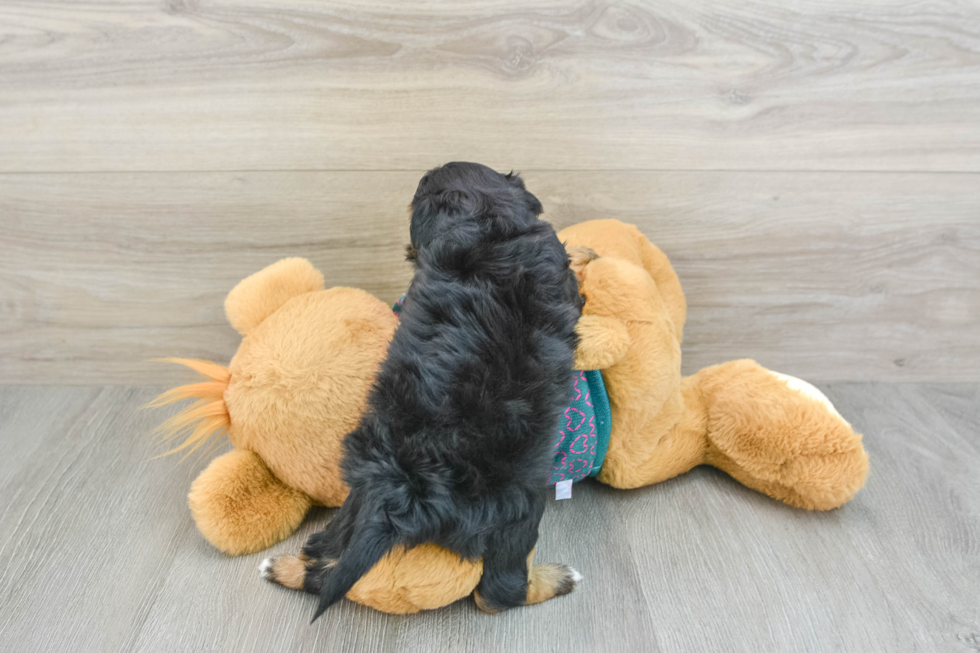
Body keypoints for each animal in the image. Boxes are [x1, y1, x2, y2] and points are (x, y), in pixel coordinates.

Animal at [262, 160, 580, 612]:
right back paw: (558, 578)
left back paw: (284, 566)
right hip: (518, 509)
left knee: (325, 558)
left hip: (360, 495)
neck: (486, 224)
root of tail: (407, 493)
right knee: (497, 592)